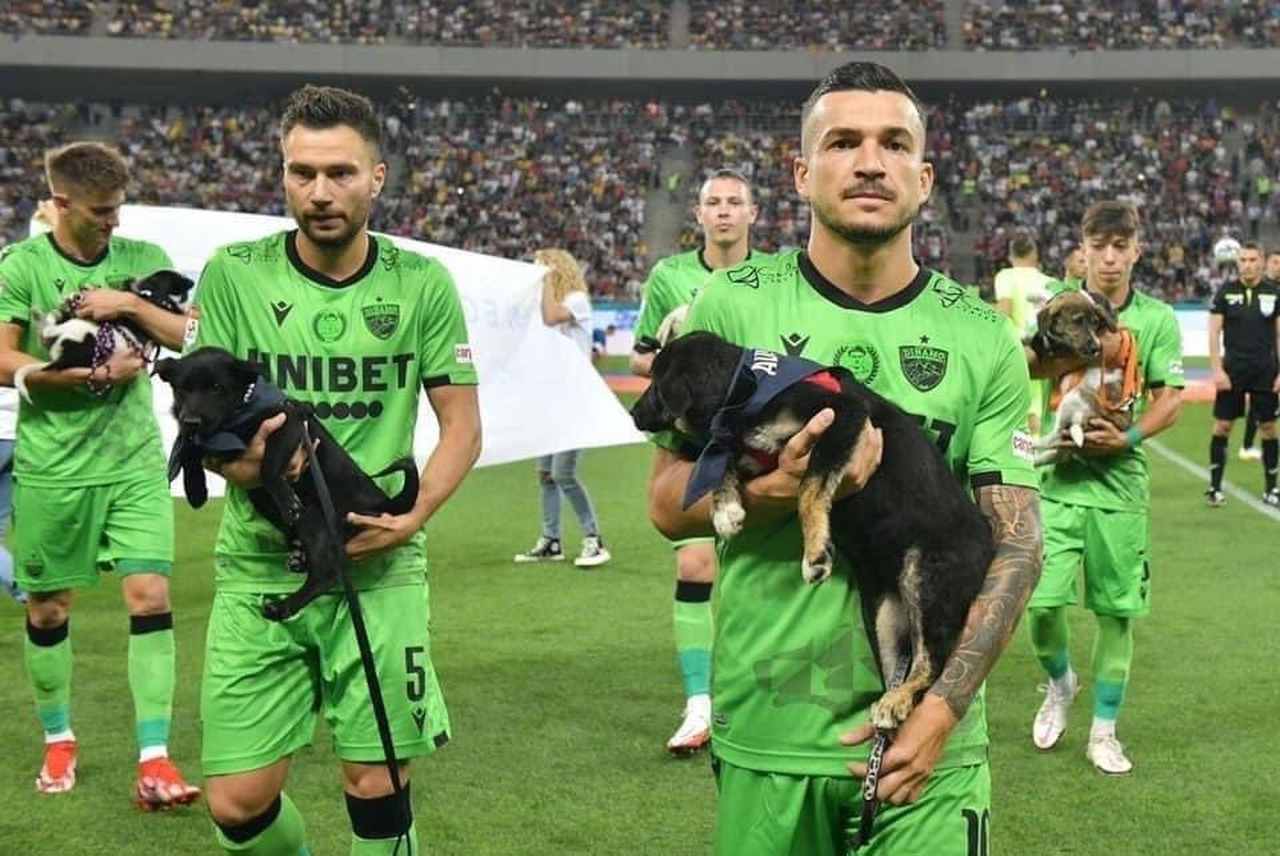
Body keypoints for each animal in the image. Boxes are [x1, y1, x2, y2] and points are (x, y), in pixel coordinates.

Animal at [15, 269, 195, 401]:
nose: (129, 280)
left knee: (49, 330)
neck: (165, 302)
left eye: (155, 278)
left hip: (85, 338)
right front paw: (80, 294)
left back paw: (47, 315)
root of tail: (59, 357)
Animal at [156, 348, 419, 621]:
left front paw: (286, 499)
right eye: (182, 389)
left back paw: (283, 606)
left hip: (315, 516)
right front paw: (195, 488)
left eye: (217, 388)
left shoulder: (288, 422)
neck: (240, 411)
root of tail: (382, 502)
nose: (191, 420)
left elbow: (267, 467)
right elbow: (189, 446)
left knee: (326, 573)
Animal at [634, 332, 993, 726]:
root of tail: (988, 539)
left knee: (934, 662)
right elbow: (720, 460)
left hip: (927, 579)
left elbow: (809, 487)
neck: (745, 391)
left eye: (655, 383)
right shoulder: (760, 454)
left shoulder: (841, 417)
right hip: (883, 616)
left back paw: (897, 701)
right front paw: (726, 508)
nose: (632, 413)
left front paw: (816, 553)